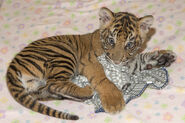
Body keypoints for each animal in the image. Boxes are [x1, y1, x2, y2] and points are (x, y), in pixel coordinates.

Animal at [6, 7, 176, 120]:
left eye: (129, 44)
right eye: (111, 40)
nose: (116, 61)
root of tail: (12, 65)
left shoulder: (128, 62)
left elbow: (141, 59)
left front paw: (165, 57)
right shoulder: (89, 62)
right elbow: (103, 78)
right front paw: (114, 101)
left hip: (41, 84)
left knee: (47, 90)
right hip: (64, 52)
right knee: (55, 83)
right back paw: (86, 91)